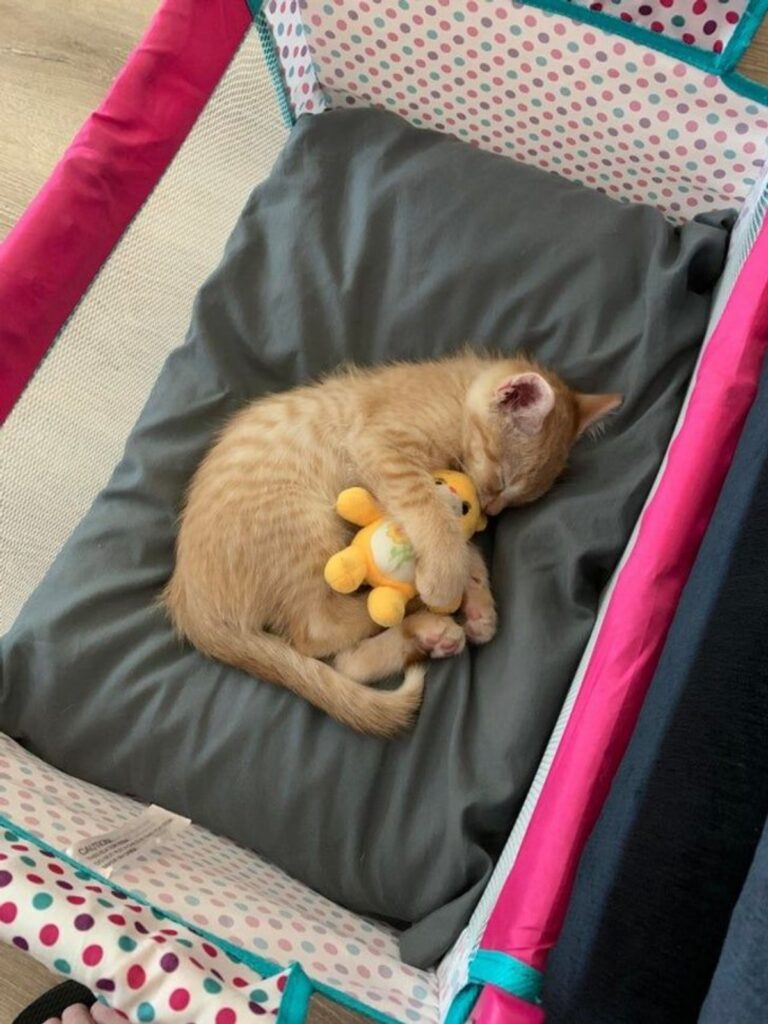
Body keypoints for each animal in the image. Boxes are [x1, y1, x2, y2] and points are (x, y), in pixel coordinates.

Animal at [162, 354, 618, 737]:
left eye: (515, 502)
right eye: (503, 481)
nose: (490, 511)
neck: (456, 393)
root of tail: (191, 603)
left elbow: (461, 543)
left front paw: (478, 601)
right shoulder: (380, 447)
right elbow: (429, 511)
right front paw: (446, 581)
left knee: (345, 664)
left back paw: (426, 635)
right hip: (303, 523)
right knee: (317, 633)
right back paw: (418, 610)